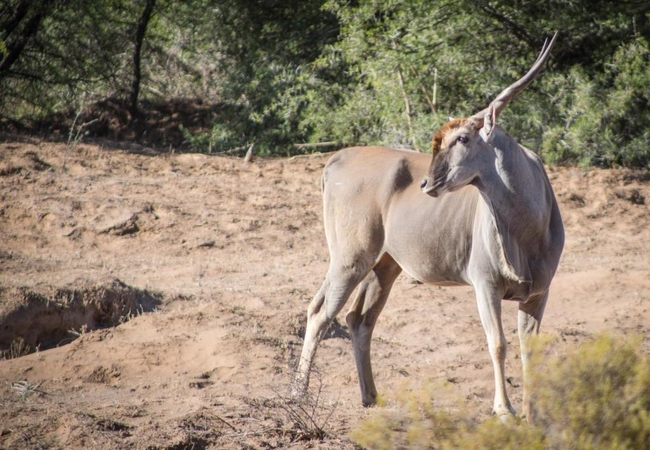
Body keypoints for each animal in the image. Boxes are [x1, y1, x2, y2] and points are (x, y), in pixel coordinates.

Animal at [292, 33, 560, 420]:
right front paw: (505, 410)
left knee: (360, 319)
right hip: (350, 260)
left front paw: (534, 413)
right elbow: (497, 343)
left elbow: (529, 349)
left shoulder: (539, 292)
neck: (527, 228)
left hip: (384, 266)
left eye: (462, 138)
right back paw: (297, 396)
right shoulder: (486, 285)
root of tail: (335, 160)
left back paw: (371, 396)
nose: (427, 183)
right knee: (319, 312)